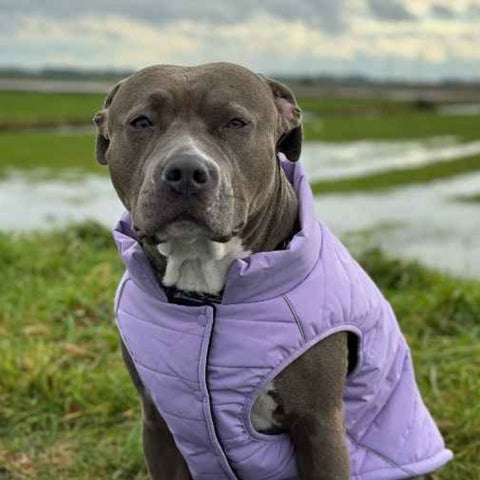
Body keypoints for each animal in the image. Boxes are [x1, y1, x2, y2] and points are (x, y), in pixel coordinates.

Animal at [94, 63, 450, 480]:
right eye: (141, 122)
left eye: (235, 122)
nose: (184, 170)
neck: (204, 290)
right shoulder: (158, 423)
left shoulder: (319, 425)